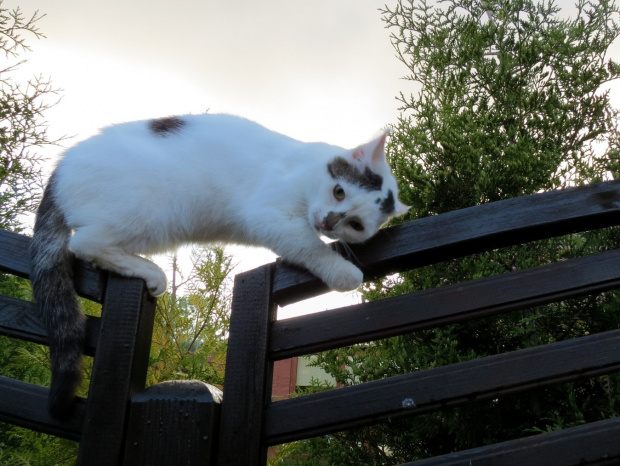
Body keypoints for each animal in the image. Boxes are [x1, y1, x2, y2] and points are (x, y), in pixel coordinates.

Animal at [29, 113, 410, 418]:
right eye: (339, 191)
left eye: (356, 225)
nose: (329, 223)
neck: (307, 175)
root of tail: (61, 166)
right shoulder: (268, 216)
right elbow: (310, 247)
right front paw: (346, 273)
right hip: (150, 214)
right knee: (84, 243)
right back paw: (151, 272)